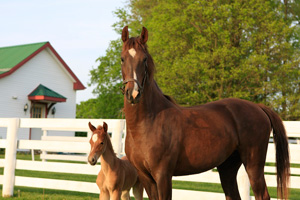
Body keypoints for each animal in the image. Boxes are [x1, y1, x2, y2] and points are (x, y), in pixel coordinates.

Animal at [120, 25, 290, 199]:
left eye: (144, 59)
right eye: (122, 59)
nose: (133, 94)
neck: (148, 122)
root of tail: (258, 107)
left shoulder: (163, 175)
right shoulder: (145, 177)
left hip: (253, 166)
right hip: (227, 168)